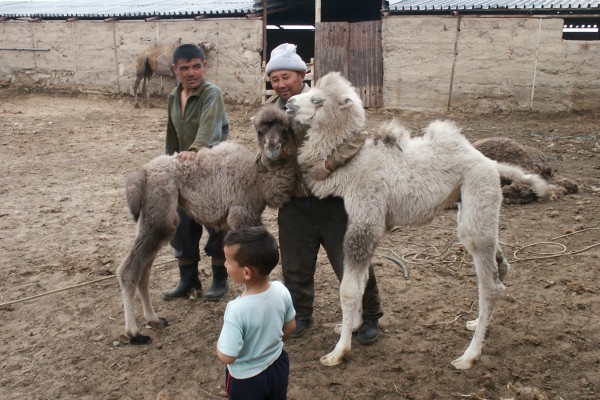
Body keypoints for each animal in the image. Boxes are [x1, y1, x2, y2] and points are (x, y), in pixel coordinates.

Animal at [286, 72, 548, 368]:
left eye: (317, 100)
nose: (289, 103)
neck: (352, 166)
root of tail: (492, 165)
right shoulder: (368, 224)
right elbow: (362, 280)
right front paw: (351, 327)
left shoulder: (365, 219)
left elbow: (349, 288)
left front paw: (338, 352)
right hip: (472, 205)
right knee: (499, 267)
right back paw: (476, 322)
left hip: (478, 193)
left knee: (490, 284)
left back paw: (468, 356)